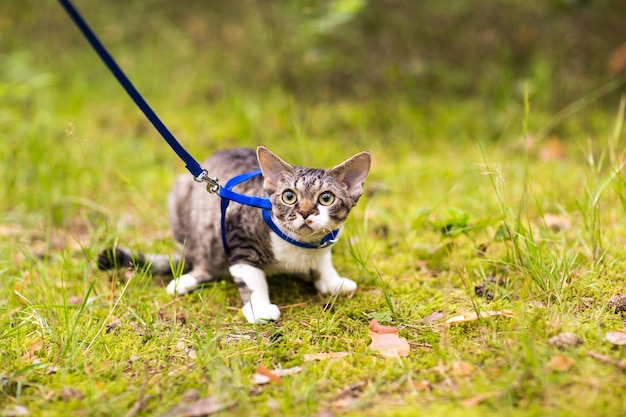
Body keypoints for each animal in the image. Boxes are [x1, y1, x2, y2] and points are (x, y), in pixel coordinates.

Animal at [97, 145, 368, 324]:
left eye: (326, 198)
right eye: (289, 196)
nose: (304, 212)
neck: (301, 246)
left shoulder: (325, 242)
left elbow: (324, 262)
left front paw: (331, 281)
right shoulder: (237, 234)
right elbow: (251, 279)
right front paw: (259, 308)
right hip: (183, 203)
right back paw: (186, 280)